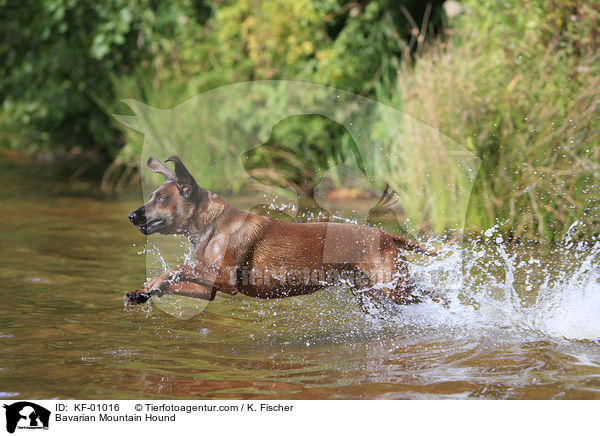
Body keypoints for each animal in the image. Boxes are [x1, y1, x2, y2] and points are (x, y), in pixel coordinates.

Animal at [126, 156, 448, 306]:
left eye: (161, 199)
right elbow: (177, 279)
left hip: (394, 287)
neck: (213, 225)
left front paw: (153, 282)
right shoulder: (208, 290)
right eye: (153, 195)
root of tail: (385, 235)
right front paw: (144, 291)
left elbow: (176, 269)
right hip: (373, 294)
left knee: (437, 296)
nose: (131, 215)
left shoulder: (226, 278)